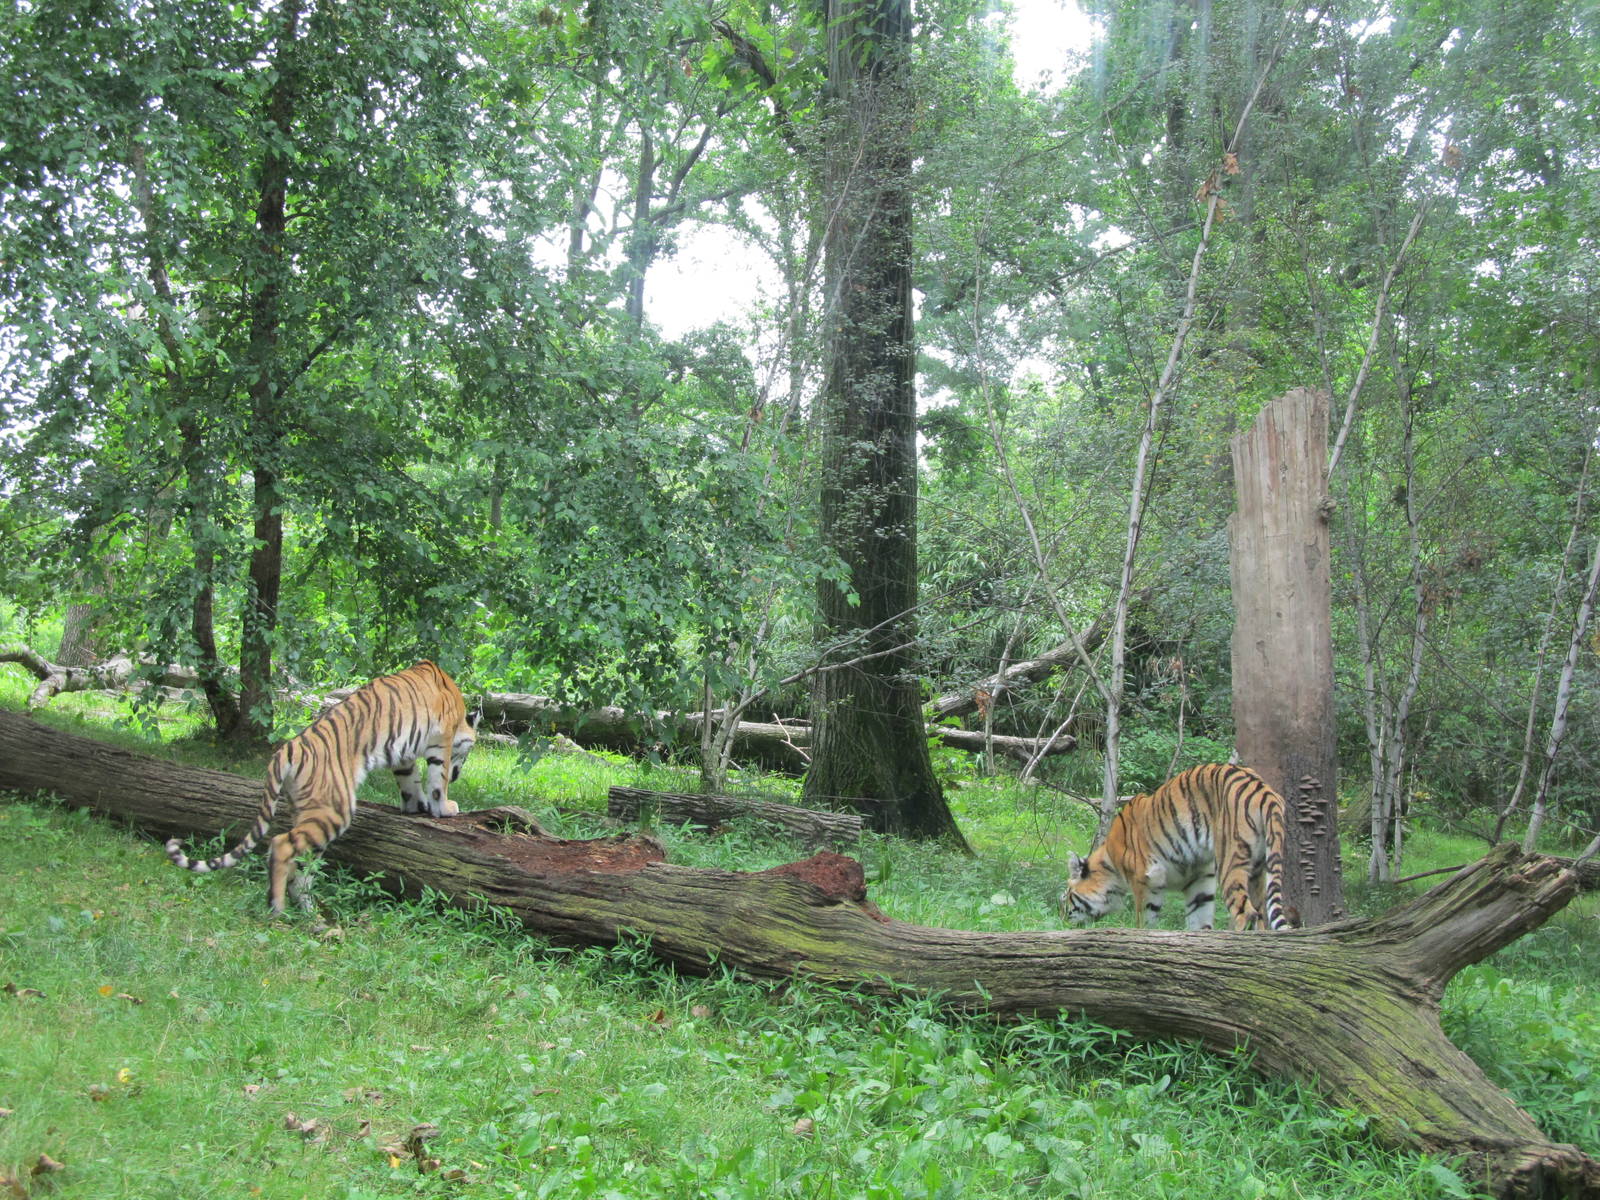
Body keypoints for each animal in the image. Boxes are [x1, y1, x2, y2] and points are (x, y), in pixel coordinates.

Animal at [166, 660, 479, 914]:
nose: (459, 776)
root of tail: (285, 750)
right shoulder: (441, 740)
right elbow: (437, 780)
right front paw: (444, 807)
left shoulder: (404, 756)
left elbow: (410, 782)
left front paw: (417, 807)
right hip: (333, 809)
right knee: (281, 845)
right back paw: (277, 909)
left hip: (309, 811)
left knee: (301, 865)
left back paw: (308, 911)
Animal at [1060, 763, 1290, 932]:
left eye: (1066, 897)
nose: (1061, 919)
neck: (1111, 867)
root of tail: (1264, 790)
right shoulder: (1200, 880)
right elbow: (1199, 922)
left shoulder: (1145, 880)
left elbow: (1144, 921)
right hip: (1258, 869)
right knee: (1259, 915)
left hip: (1230, 862)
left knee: (1246, 914)